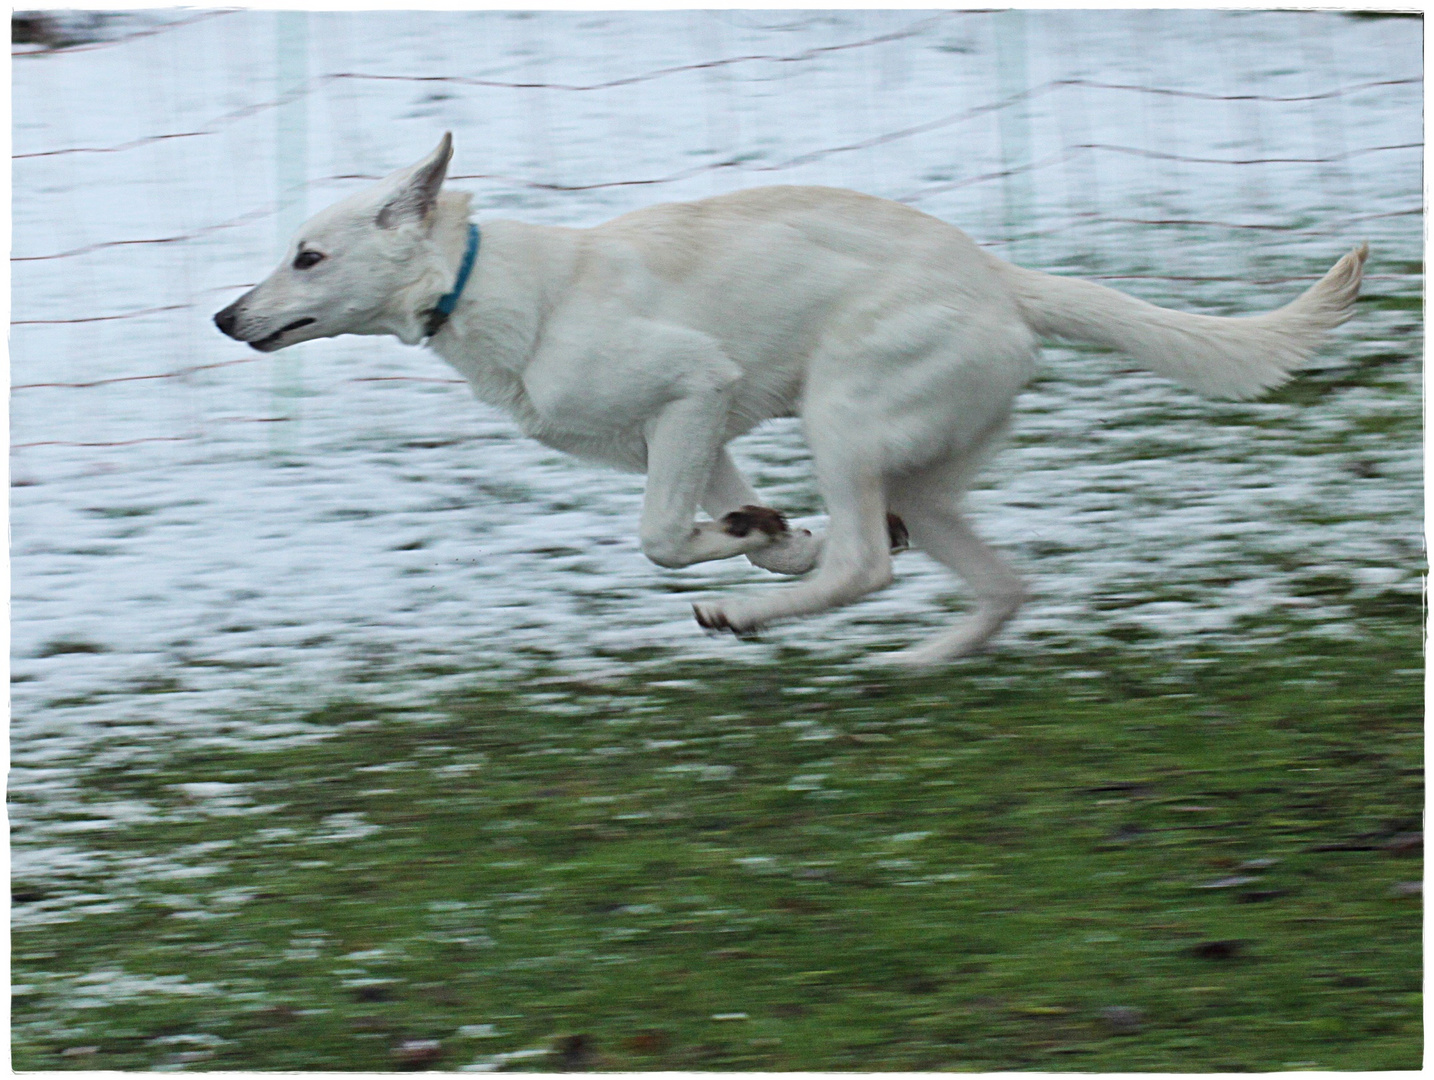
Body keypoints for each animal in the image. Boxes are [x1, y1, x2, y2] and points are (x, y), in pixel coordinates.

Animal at [212, 134, 1365, 665]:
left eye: (308, 256)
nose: (224, 316)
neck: (476, 284)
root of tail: (1004, 280)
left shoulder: (693, 387)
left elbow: (661, 540)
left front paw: (753, 557)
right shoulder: (690, 430)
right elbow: (724, 516)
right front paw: (771, 534)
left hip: (841, 416)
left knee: (870, 564)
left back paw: (755, 615)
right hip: (920, 473)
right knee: (996, 579)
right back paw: (919, 660)